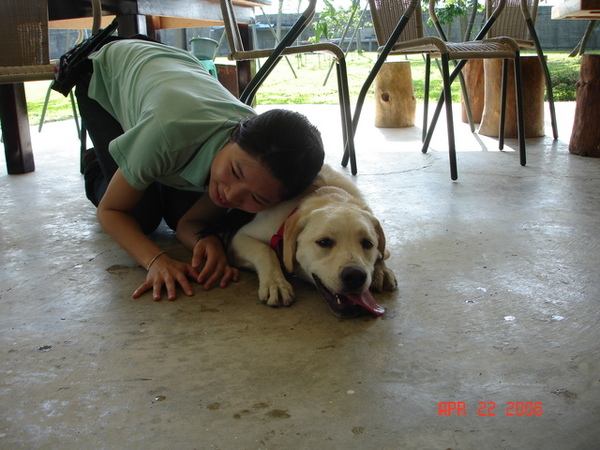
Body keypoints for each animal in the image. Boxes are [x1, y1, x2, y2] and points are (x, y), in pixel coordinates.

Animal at [227, 163, 396, 318]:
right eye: (324, 242)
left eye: (368, 244)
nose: (355, 276)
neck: (329, 193)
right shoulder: (240, 237)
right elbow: (265, 250)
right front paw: (275, 283)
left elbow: (383, 253)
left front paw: (382, 269)